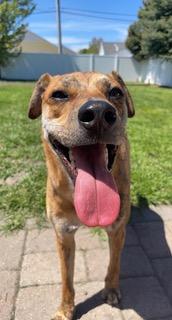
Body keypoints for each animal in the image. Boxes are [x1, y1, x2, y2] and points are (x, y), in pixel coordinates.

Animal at [28, 71, 134, 318]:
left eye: (115, 92)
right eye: (58, 95)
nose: (98, 113)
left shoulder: (117, 230)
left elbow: (114, 264)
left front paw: (111, 289)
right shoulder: (63, 235)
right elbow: (66, 279)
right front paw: (65, 309)